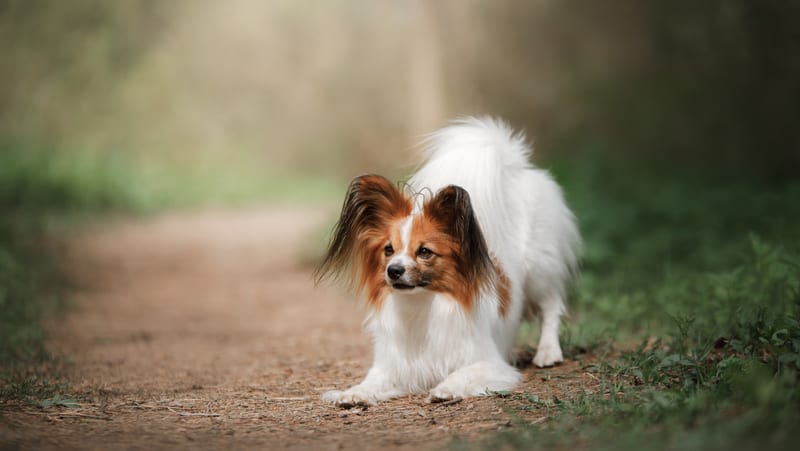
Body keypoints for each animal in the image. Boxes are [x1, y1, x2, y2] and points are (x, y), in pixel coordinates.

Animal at [314, 115, 580, 406]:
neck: (423, 304)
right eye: (388, 250)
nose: (393, 271)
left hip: (539, 269)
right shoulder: (394, 368)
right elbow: (370, 383)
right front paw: (352, 393)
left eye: (424, 252)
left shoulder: (488, 363)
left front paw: (446, 389)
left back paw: (548, 352)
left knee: (551, 305)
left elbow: (462, 374)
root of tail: (515, 169)